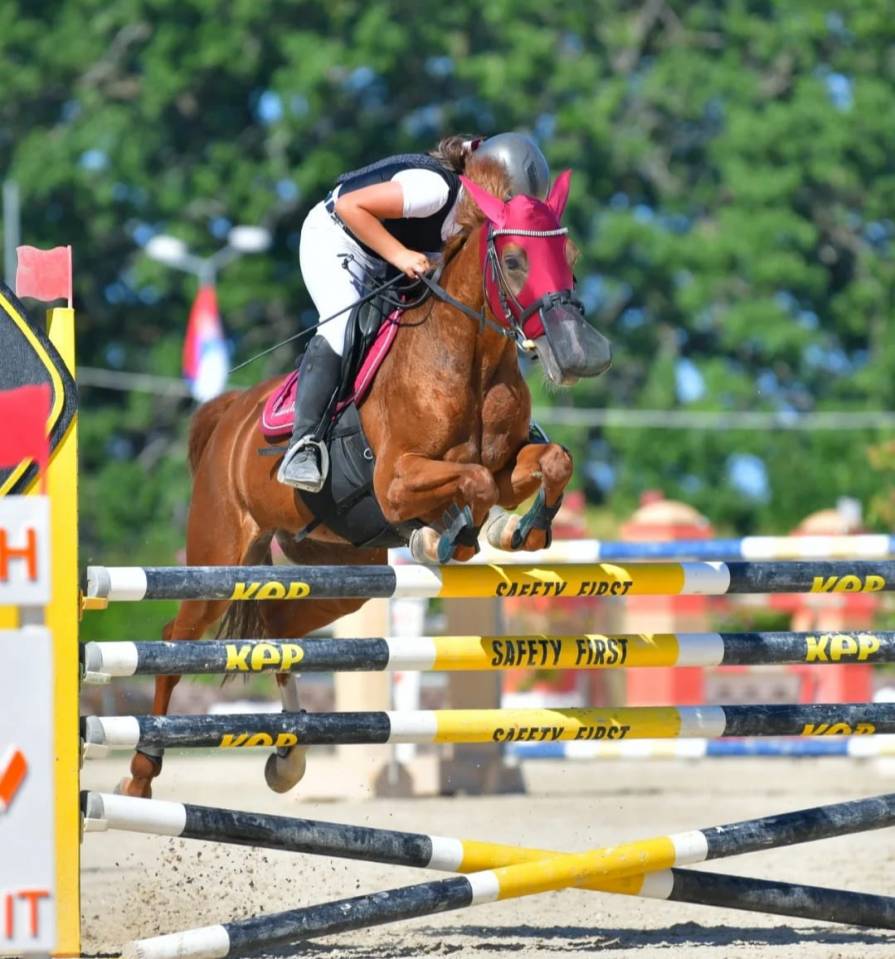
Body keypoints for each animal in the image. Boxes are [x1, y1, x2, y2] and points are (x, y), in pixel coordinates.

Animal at [121, 156, 612, 798]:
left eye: (570, 256)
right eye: (513, 260)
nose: (580, 356)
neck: (469, 359)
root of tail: (226, 414)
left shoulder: (507, 466)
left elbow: (548, 463)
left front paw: (515, 531)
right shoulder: (395, 485)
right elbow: (472, 483)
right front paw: (445, 534)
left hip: (342, 569)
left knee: (279, 627)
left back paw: (288, 757)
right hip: (216, 559)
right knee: (176, 641)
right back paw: (142, 772)